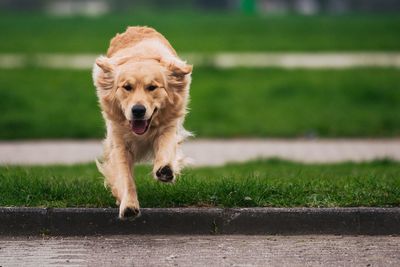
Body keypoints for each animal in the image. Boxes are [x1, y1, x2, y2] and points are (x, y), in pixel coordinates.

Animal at [94, 26, 194, 220]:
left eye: (152, 87)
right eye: (127, 87)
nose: (138, 110)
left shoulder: (169, 125)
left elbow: (165, 148)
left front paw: (165, 170)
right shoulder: (118, 141)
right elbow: (125, 176)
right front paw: (129, 204)